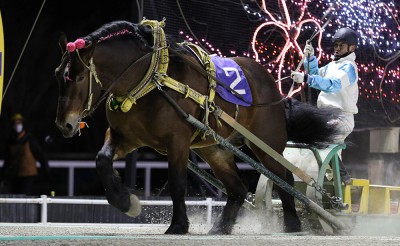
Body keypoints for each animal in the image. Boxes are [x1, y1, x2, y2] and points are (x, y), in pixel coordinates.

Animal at [54, 19, 342, 234]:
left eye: (78, 77)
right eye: (58, 75)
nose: (64, 124)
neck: (150, 79)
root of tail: (271, 84)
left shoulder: (177, 141)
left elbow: (177, 181)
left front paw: (178, 225)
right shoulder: (126, 136)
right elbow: (102, 160)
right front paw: (126, 201)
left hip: (267, 142)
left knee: (284, 178)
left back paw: (293, 224)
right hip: (214, 148)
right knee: (238, 188)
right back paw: (221, 227)